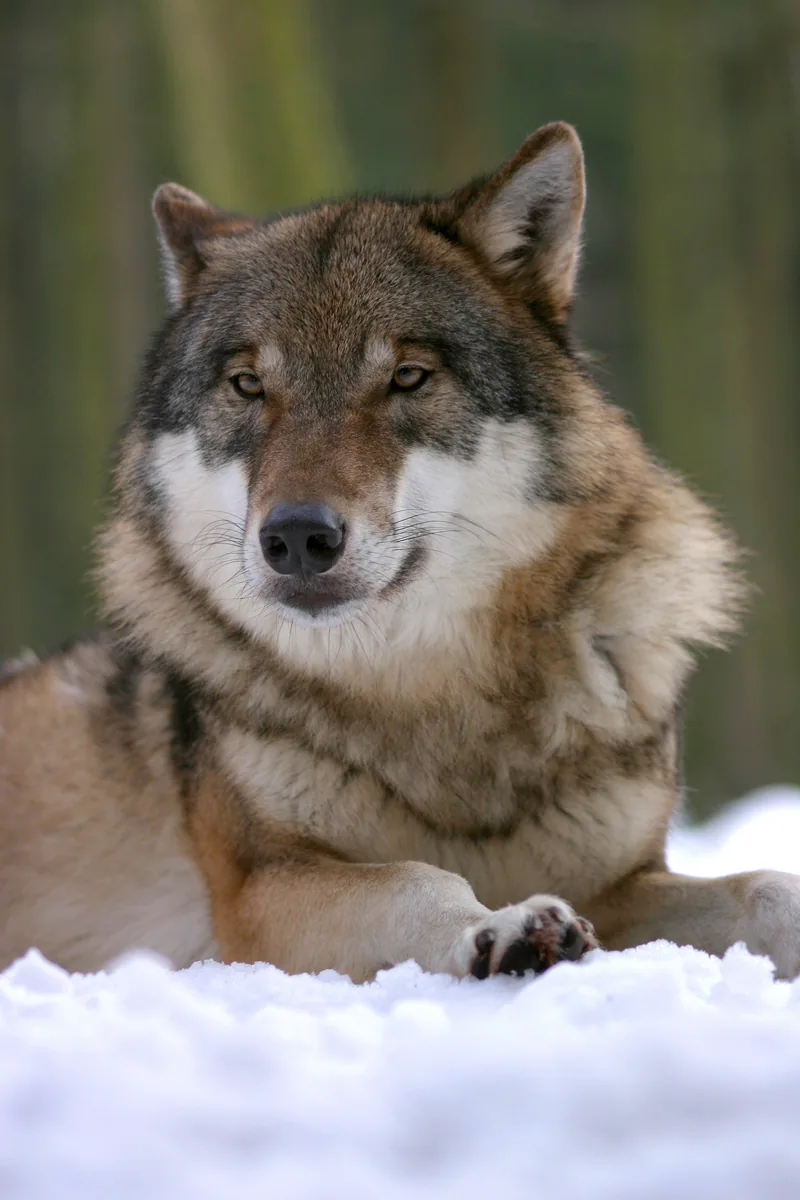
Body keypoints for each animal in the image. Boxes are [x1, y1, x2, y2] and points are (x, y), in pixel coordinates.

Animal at [2, 121, 799, 982]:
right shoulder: (260, 894)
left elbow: (767, 888)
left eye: (408, 377)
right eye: (248, 385)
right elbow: (423, 878)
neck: (429, 691)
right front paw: (506, 925)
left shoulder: (622, 884)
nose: (297, 536)